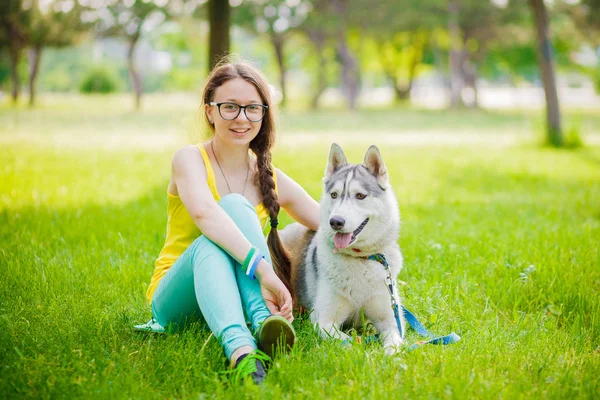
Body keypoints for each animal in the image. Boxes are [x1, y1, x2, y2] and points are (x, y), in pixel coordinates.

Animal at [280, 143, 404, 354]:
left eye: (360, 196)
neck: (360, 259)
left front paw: (389, 355)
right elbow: (352, 341)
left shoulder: (391, 320)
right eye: (334, 195)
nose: (335, 222)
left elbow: (394, 341)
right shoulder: (323, 321)